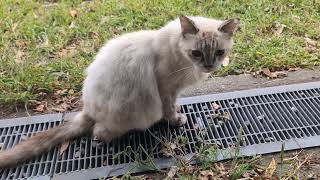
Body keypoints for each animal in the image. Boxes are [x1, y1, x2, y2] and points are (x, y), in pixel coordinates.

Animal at [0, 15, 239, 169]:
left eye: (219, 52)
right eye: (196, 53)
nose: (209, 66)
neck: (185, 61)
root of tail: (88, 108)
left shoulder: (174, 90)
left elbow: (173, 105)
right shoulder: (166, 88)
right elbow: (169, 109)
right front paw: (176, 120)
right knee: (97, 132)